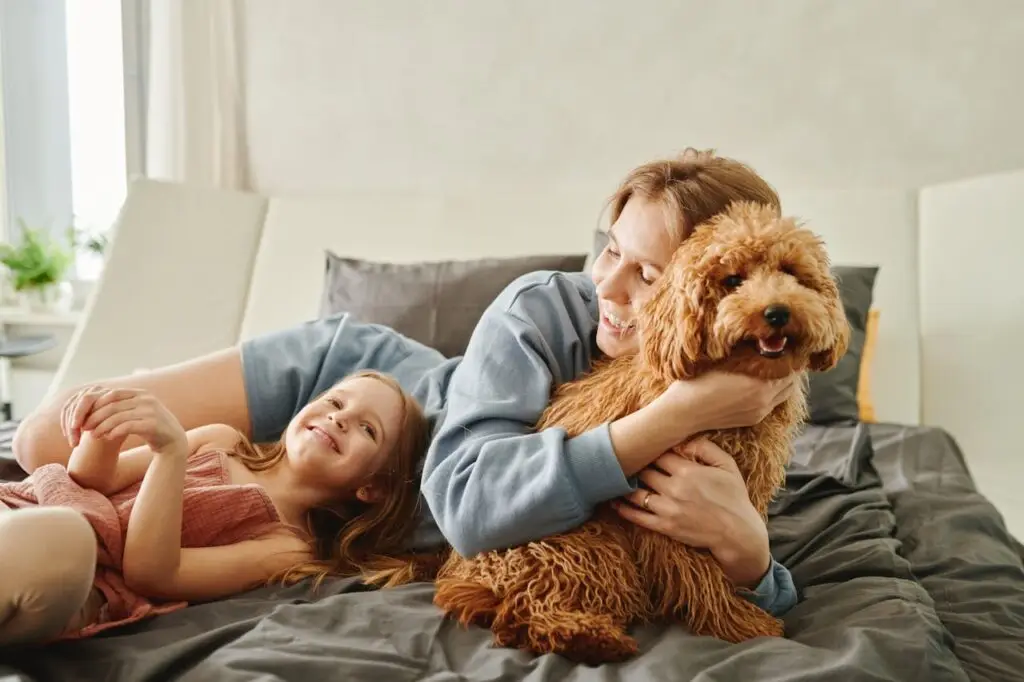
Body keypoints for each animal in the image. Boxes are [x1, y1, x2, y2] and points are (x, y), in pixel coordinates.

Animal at [432, 199, 847, 659]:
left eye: (791, 272)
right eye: (732, 280)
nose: (777, 312)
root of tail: (462, 576)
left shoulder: (740, 497)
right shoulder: (668, 517)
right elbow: (701, 577)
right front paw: (739, 623)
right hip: (586, 546)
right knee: (522, 613)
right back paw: (587, 636)